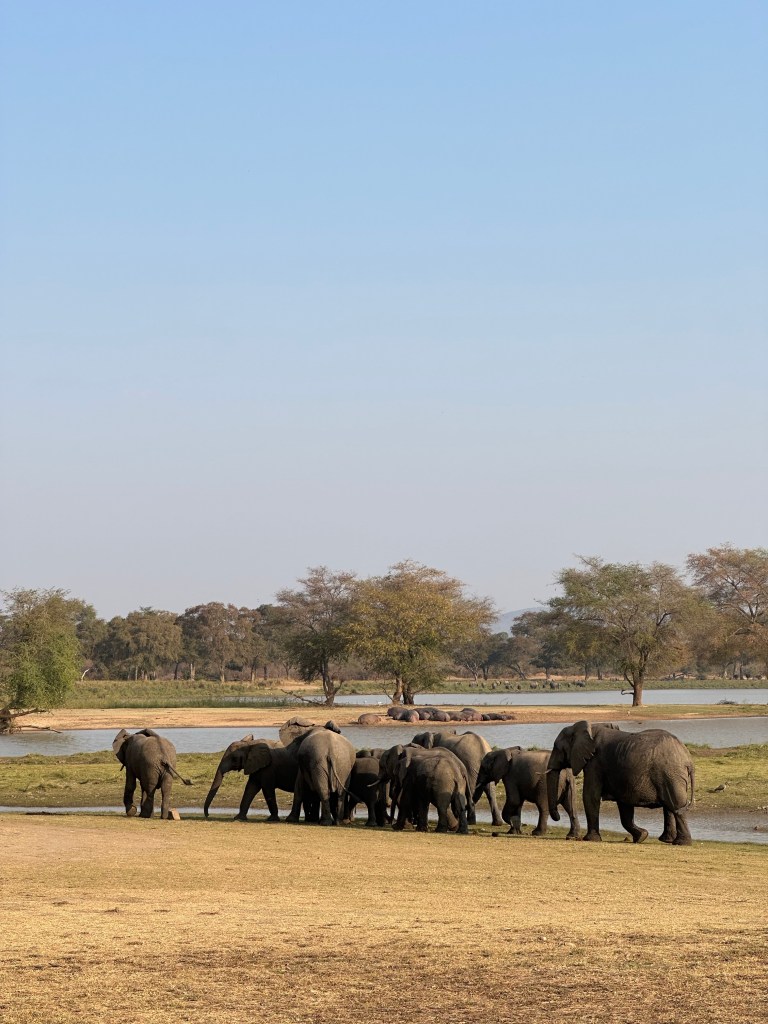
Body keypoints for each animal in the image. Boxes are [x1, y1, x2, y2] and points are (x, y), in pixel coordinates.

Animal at [547, 721, 695, 845]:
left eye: (556, 747)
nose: (557, 817)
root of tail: (687, 757)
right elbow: (625, 806)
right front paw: (642, 836)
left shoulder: (594, 763)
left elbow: (590, 796)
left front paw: (590, 839)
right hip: (670, 775)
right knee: (669, 806)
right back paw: (667, 840)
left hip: (670, 774)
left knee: (676, 806)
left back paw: (681, 843)